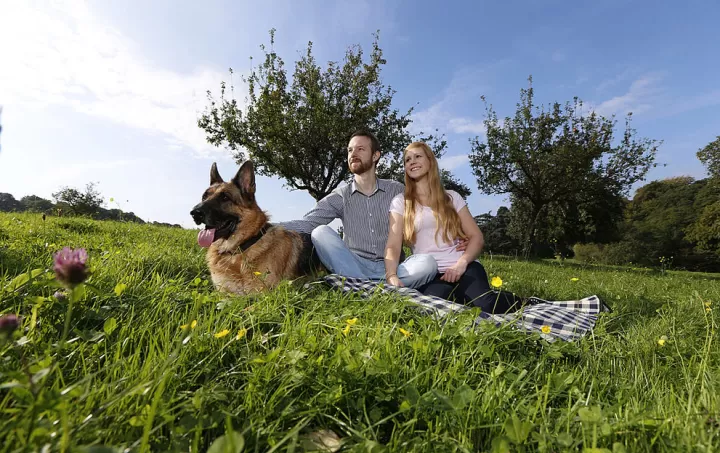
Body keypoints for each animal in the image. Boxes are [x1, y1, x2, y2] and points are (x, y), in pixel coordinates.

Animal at [188, 161, 320, 294]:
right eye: (204, 197)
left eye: (225, 197)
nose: (194, 213)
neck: (240, 248)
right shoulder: (223, 292)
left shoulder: (261, 293)